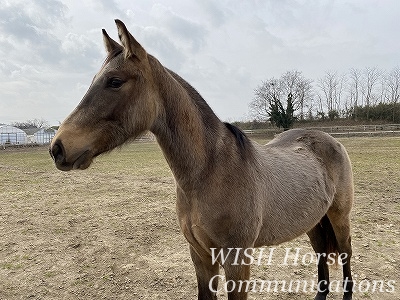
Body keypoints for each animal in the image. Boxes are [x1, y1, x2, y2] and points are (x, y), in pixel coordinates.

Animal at [50, 19, 354, 298]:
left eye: (115, 81)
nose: (58, 147)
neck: (210, 171)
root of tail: (328, 139)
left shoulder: (236, 259)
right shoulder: (200, 255)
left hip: (339, 217)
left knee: (346, 253)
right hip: (313, 222)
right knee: (322, 256)